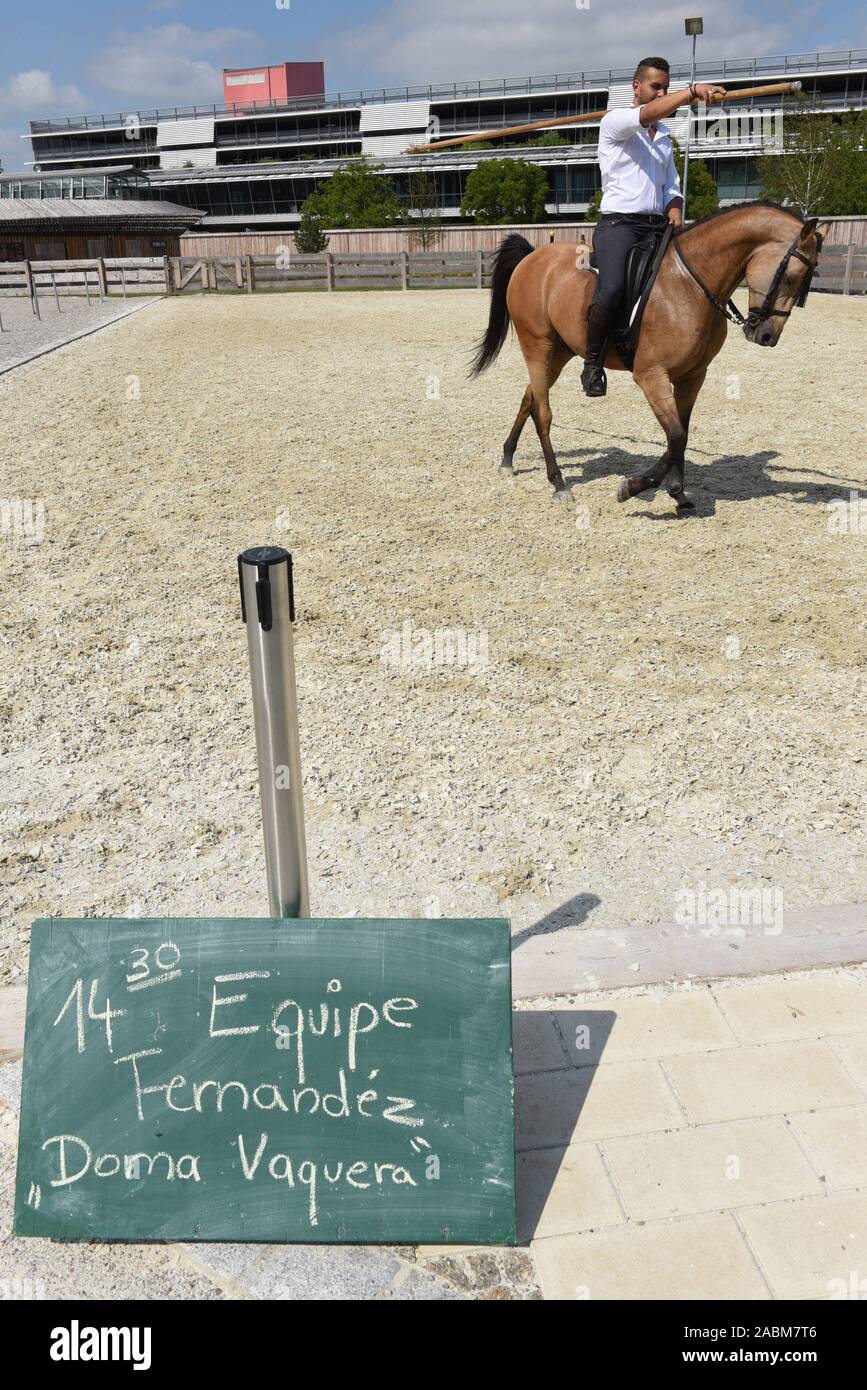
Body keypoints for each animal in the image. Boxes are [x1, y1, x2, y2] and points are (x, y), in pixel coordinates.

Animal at [469, 201, 828, 511]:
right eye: (791, 276)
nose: (767, 335)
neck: (689, 283)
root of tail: (533, 257)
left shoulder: (693, 376)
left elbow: (681, 435)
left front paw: (678, 493)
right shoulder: (651, 375)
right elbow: (676, 435)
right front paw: (634, 487)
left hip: (558, 353)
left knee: (529, 399)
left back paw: (507, 459)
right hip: (538, 346)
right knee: (542, 413)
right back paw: (558, 483)